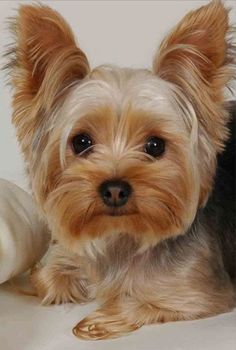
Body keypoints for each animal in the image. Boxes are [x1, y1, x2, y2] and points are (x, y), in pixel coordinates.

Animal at [6, 0, 235, 340]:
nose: (115, 189)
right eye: (81, 142)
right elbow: (47, 276)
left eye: (155, 145)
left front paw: (101, 319)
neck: (123, 237)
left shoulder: (200, 292)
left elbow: (143, 297)